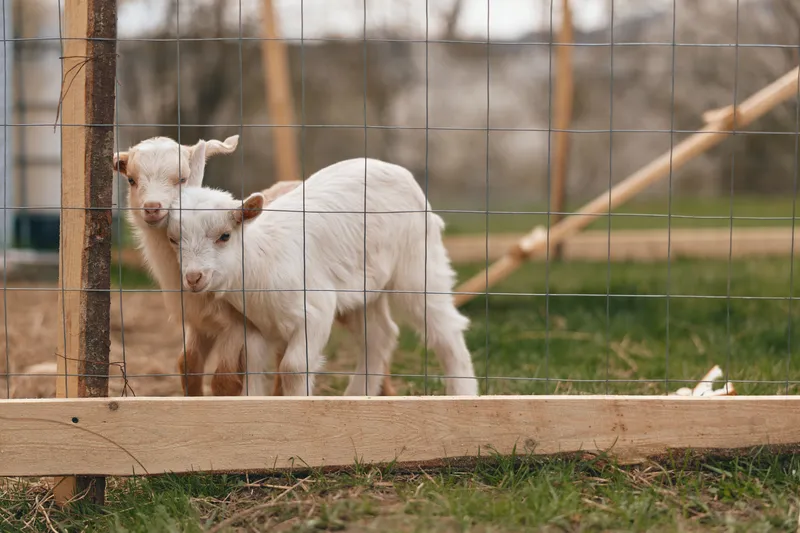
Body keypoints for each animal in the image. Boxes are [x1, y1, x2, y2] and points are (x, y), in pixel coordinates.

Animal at [166, 158, 478, 396]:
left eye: (225, 236)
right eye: (173, 240)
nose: (193, 277)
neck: (260, 258)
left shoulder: (315, 311)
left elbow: (292, 367)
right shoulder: (253, 326)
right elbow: (252, 368)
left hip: (417, 264)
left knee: (445, 328)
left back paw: (463, 393)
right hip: (362, 289)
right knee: (380, 336)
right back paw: (357, 396)